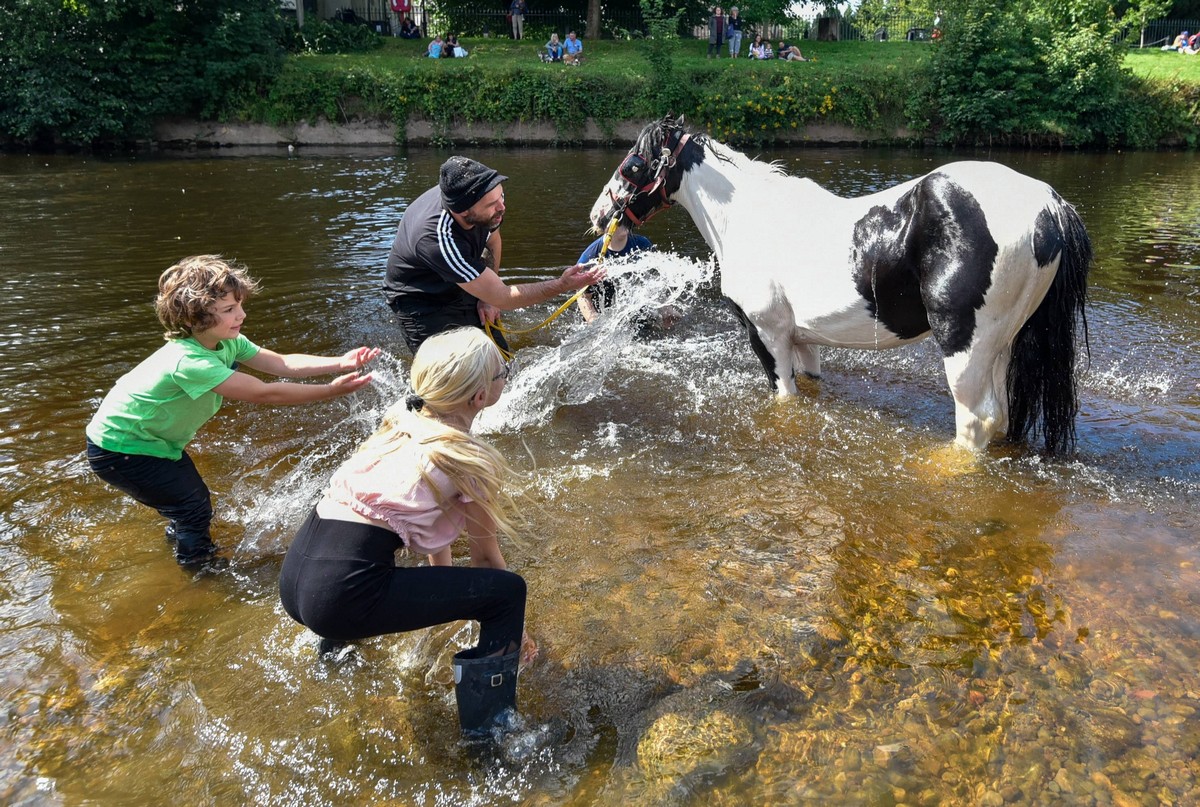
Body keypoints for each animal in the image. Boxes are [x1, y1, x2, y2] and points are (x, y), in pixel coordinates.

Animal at [585, 115, 1094, 453]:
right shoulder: (802, 338)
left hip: (964, 345)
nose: (599, 214)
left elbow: (784, 398)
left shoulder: (767, 334)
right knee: (1002, 415)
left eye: (633, 165)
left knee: (975, 421)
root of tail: (1049, 204)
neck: (748, 219)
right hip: (1004, 343)